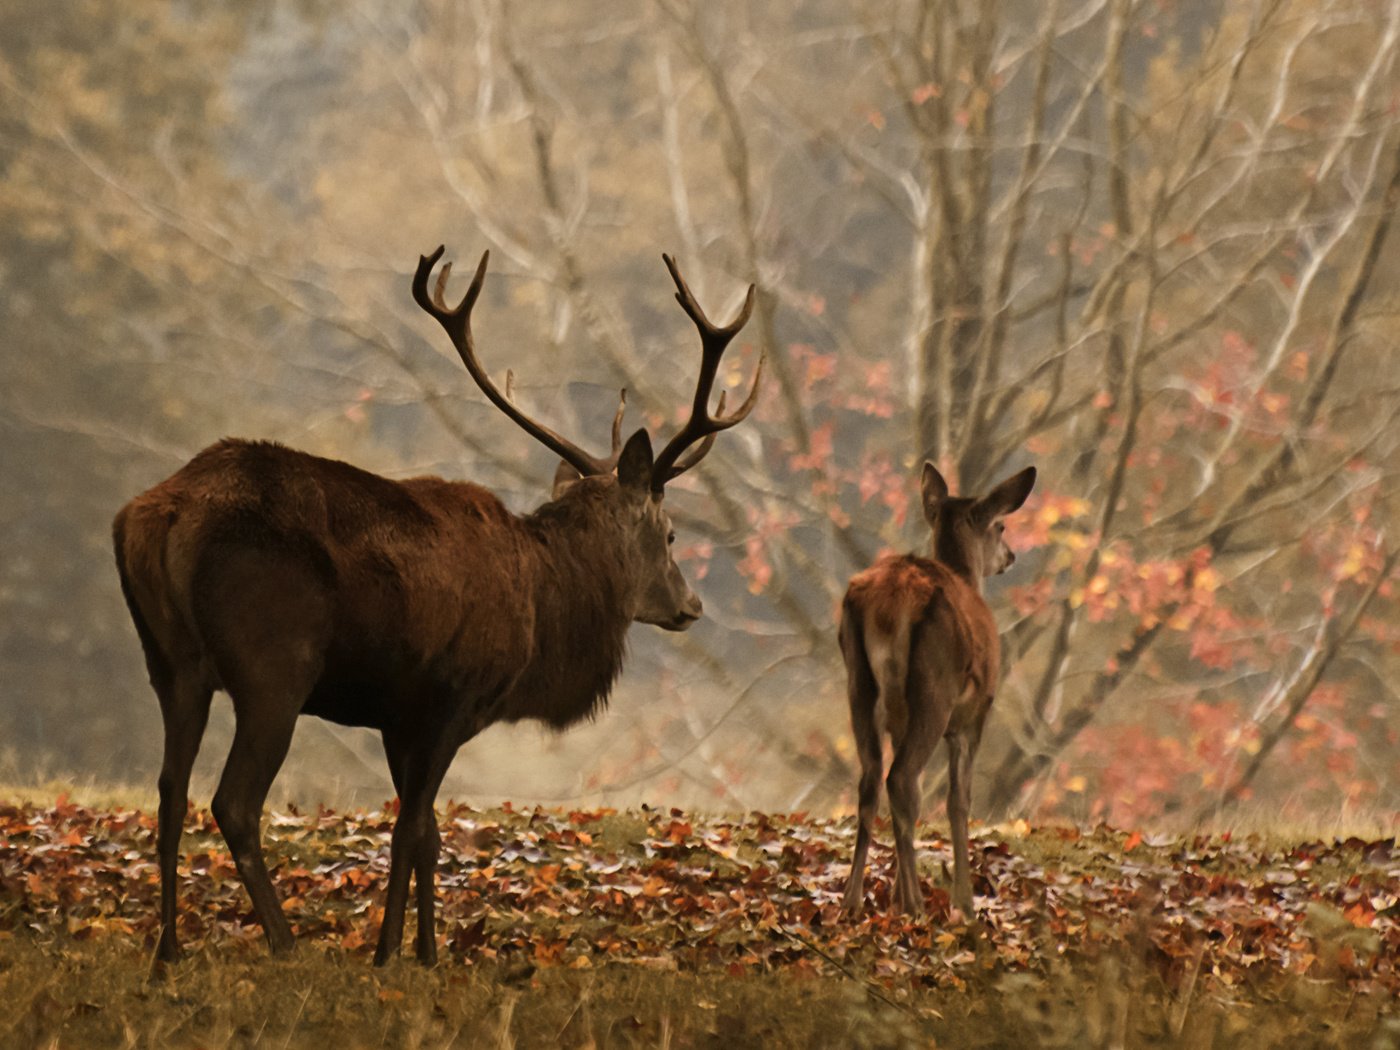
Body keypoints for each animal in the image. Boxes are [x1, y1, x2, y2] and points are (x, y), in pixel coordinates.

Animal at [834, 464, 1036, 918]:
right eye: (1000, 525)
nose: (1011, 557)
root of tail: (892, 603)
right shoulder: (975, 713)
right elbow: (959, 801)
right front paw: (965, 900)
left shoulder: (897, 718)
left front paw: (892, 893)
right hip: (935, 686)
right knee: (901, 779)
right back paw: (915, 905)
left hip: (860, 683)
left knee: (874, 779)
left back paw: (854, 900)